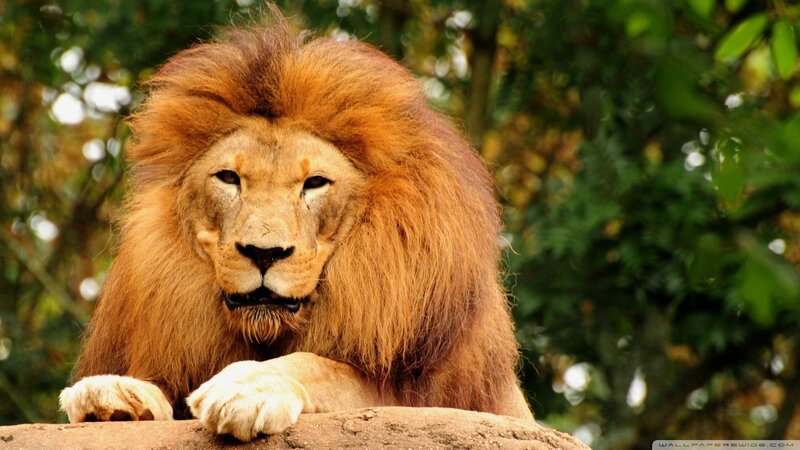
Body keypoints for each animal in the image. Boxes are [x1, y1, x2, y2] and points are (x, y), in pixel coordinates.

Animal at [59, 10, 533, 441]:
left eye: (315, 183)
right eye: (229, 178)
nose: (263, 253)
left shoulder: (423, 393)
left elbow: (323, 367)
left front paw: (247, 387)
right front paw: (113, 393)